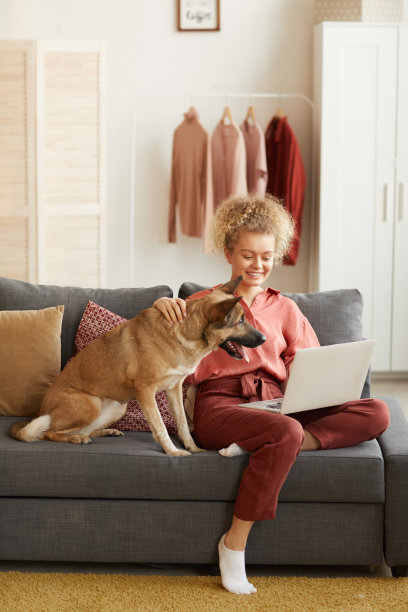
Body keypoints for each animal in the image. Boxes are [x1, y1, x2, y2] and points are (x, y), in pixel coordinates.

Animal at [9, 278, 266, 454]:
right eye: (240, 321)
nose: (264, 339)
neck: (184, 333)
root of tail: (41, 410)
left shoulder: (173, 390)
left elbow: (182, 424)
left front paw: (194, 449)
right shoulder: (145, 390)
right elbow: (161, 426)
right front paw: (173, 452)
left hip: (117, 407)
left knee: (80, 429)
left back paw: (104, 432)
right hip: (89, 404)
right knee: (48, 433)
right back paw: (75, 438)